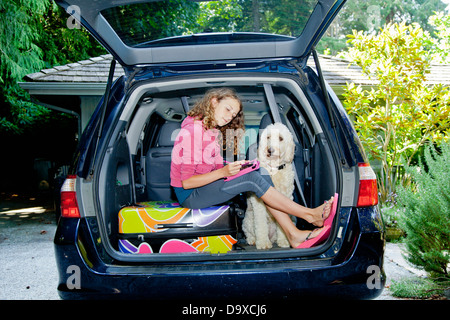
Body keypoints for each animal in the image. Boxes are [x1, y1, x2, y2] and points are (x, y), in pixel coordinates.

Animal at [243, 122, 296, 250]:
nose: (270, 150)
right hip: (248, 220)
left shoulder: (286, 197)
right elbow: (261, 224)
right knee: (249, 232)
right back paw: (253, 240)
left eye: (281, 138)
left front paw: (284, 241)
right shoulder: (259, 202)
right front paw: (263, 243)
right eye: (268, 137)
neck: (274, 169)